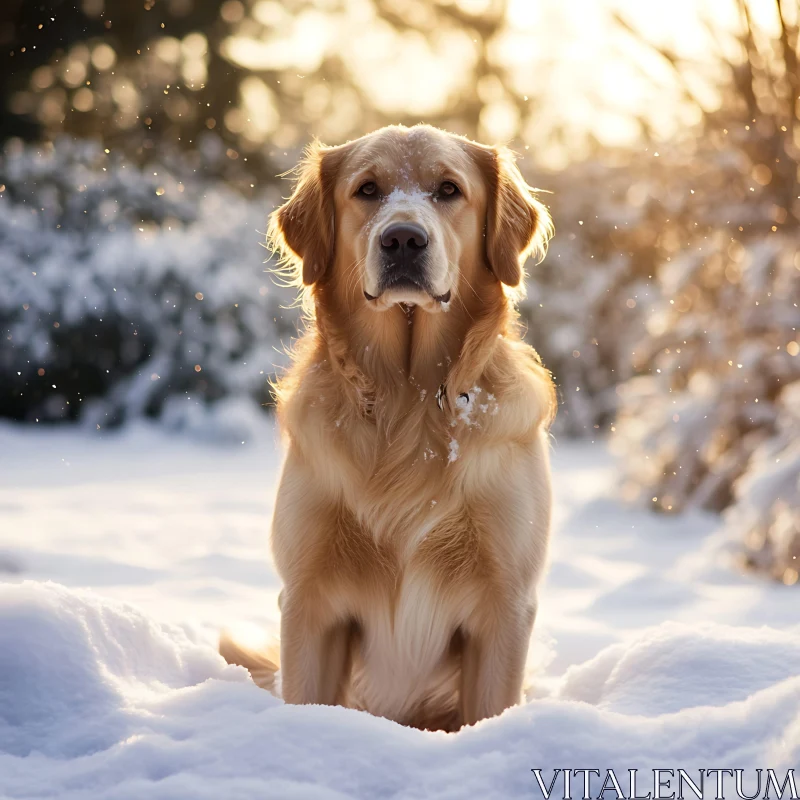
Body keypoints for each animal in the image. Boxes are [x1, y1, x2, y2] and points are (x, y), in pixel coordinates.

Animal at [222, 125, 552, 732]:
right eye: (367, 189)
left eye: (448, 189)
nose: (402, 240)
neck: (409, 401)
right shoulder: (309, 602)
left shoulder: (505, 606)